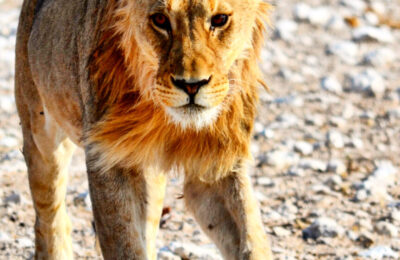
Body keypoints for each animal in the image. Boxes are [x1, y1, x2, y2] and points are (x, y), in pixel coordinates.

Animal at [14, 0, 272, 258]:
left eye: (219, 20)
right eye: (160, 20)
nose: (191, 86)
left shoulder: (217, 162)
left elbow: (252, 236)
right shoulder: (108, 160)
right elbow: (125, 245)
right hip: (40, 132)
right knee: (49, 215)